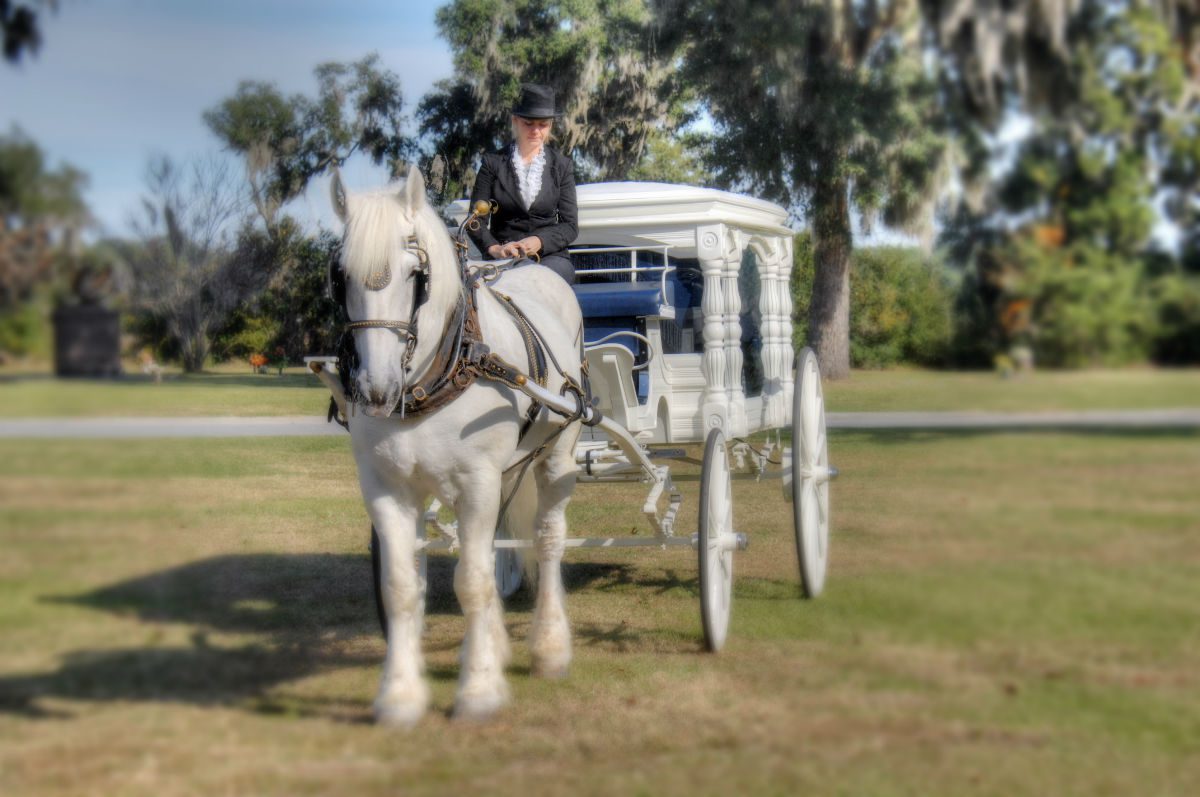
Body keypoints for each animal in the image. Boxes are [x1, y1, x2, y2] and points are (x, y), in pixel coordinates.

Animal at [330, 165, 584, 725]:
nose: (376, 391)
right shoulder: (385, 488)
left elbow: (471, 582)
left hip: (556, 456)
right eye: (340, 276)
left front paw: (480, 689)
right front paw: (400, 695)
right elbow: (403, 587)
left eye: (415, 275)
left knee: (548, 540)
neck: (433, 378)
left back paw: (550, 648)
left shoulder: (476, 482)